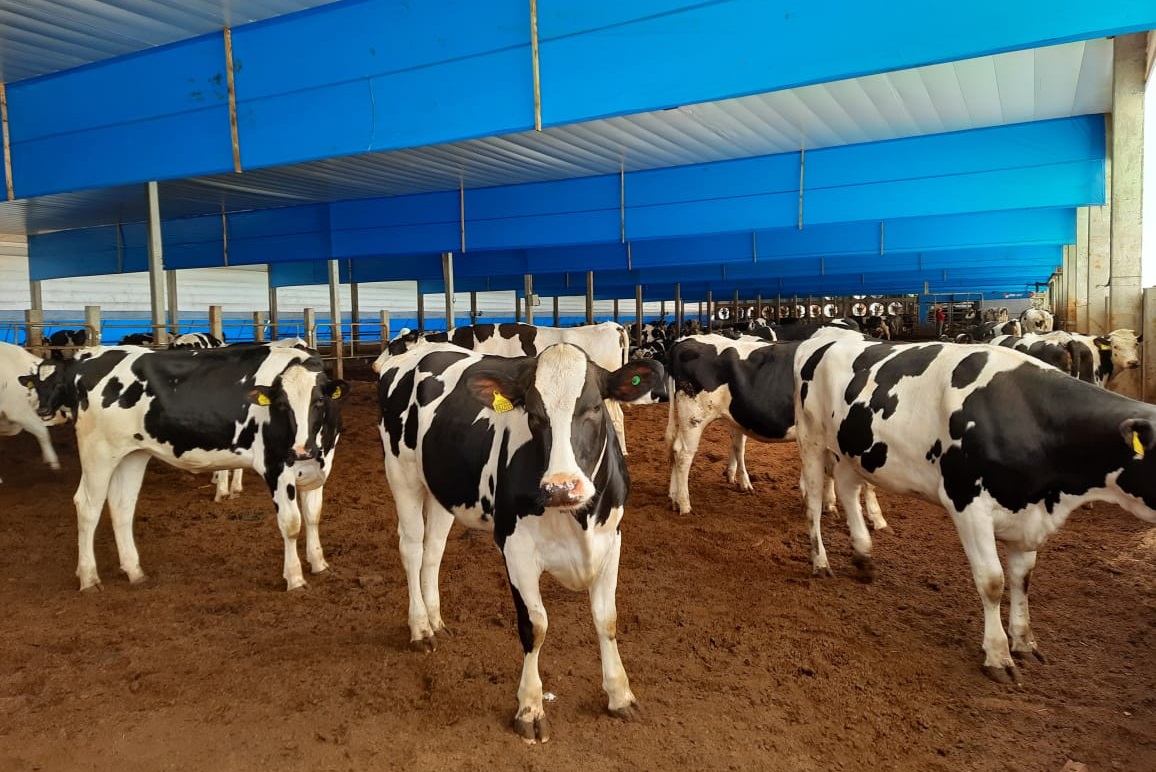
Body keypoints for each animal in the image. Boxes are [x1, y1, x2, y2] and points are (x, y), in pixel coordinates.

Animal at [19, 344, 346, 591]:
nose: (301, 449)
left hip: (131, 454)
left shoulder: (321, 466)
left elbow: (313, 515)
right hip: (97, 451)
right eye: (281, 404)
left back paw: (134, 571)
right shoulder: (276, 466)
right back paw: (88, 577)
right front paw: (295, 578)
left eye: (319, 401)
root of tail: (91, 357)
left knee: (122, 507)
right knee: (87, 506)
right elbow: (291, 523)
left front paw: (319, 563)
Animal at [374, 342, 665, 739]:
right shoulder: (516, 549)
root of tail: (420, 347)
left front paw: (620, 695)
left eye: (594, 407)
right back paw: (420, 628)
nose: (561, 486)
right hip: (401, 473)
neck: (579, 519)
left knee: (433, 551)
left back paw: (436, 621)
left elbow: (607, 619)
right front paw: (530, 708)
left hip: (443, 489)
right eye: (534, 414)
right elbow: (535, 625)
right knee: (412, 548)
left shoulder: (611, 541)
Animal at [661, 335, 883, 526]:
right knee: (683, 454)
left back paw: (673, 498)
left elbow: (830, 470)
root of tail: (686, 340)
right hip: (694, 417)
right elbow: (867, 482)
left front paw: (829, 504)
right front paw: (876, 518)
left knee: (676, 448)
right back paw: (685, 504)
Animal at [790, 325, 1156, 679]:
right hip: (812, 438)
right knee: (814, 499)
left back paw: (864, 555)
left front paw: (1024, 641)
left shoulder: (1026, 511)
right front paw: (998, 655)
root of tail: (824, 340)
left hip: (853, 451)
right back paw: (820, 561)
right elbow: (992, 581)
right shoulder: (968, 503)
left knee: (848, 488)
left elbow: (1023, 578)